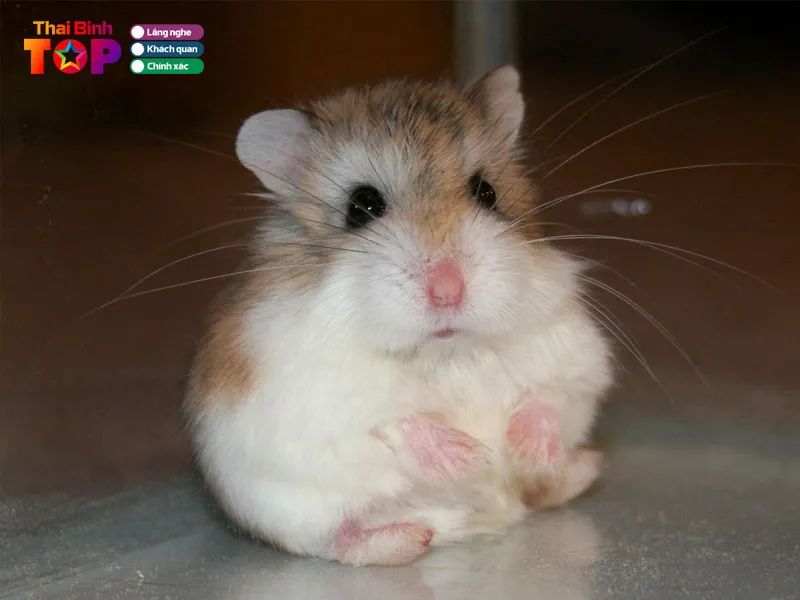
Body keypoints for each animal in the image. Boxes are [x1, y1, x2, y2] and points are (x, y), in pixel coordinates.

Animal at [184, 65, 614, 567]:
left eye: (486, 192)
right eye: (361, 206)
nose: (447, 290)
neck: (444, 351)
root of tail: (477, 522)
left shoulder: (573, 356)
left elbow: (548, 397)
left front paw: (520, 448)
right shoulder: (320, 398)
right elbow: (394, 419)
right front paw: (472, 456)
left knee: (540, 493)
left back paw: (578, 468)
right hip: (285, 512)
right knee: (338, 539)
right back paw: (410, 537)